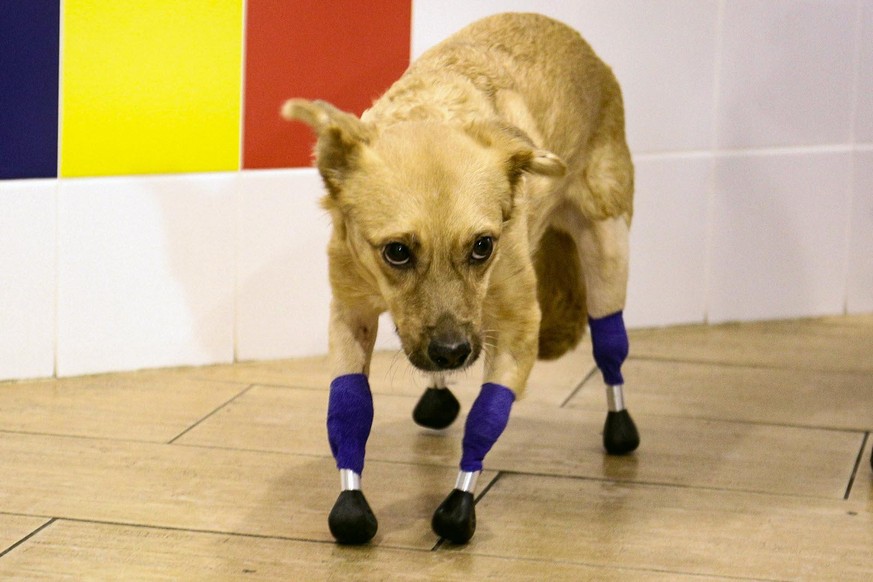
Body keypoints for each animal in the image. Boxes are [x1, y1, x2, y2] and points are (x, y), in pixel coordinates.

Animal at [282, 12, 636, 548]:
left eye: (483, 245)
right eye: (397, 252)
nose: (452, 352)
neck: (432, 111)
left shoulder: (516, 328)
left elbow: (487, 418)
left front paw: (457, 509)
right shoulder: (351, 312)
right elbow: (348, 407)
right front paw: (351, 504)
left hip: (606, 246)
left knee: (610, 345)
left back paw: (620, 427)